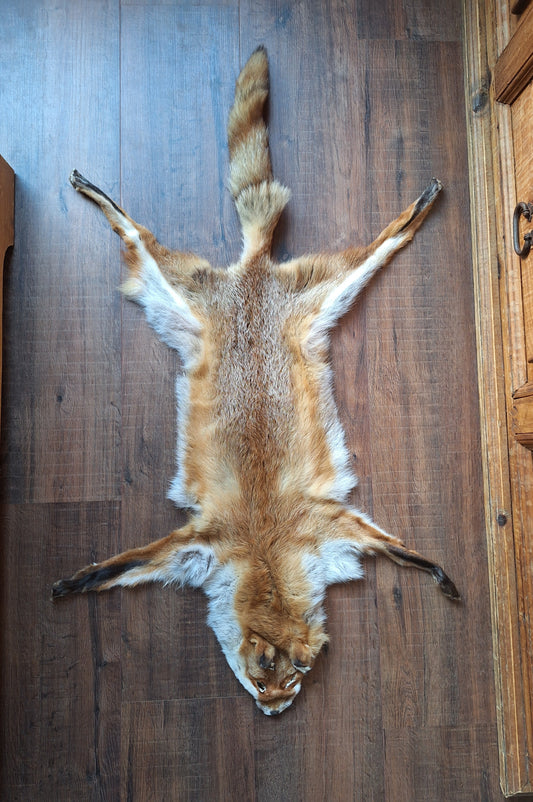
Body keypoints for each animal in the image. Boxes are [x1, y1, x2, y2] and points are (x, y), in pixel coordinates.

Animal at [53, 46, 459, 715]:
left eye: (293, 681)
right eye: (259, 677)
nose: (271, 711)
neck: (267, 546)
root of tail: (252, 272)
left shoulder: (330, 526)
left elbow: (406, 551)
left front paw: (436, 573)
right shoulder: (204, 541)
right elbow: (118, 566)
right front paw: (79, 579)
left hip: (324, 292)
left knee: (381, 242)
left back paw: (416, 208)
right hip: (185, 289)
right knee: (138, 234)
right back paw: (101, 195)